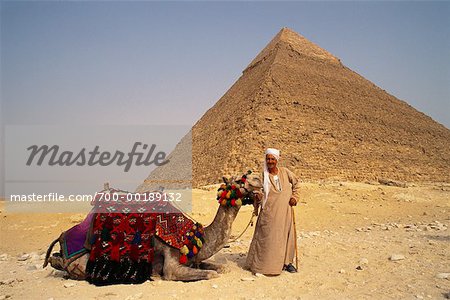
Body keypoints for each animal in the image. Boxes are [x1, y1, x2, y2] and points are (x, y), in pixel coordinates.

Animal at [44, 175, 262, 282]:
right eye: (239, 180)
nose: (259, 179)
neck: (194, 236)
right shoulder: (172, 263)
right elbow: (210, 274)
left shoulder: (194, 259)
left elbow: (221, 267)